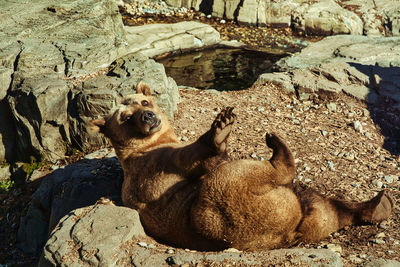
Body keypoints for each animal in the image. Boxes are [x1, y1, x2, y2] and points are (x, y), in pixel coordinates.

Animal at [88, 82, 394, 252]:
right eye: (126, 117)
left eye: (144, 101)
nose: (149, 116)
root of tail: (289, 231)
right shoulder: (152, 167)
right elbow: (190, 159)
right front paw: (220, 128)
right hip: (231, 214)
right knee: (238, 177)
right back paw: (275, 145)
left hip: (298, 213)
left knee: (326, 208)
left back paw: (381, 204)